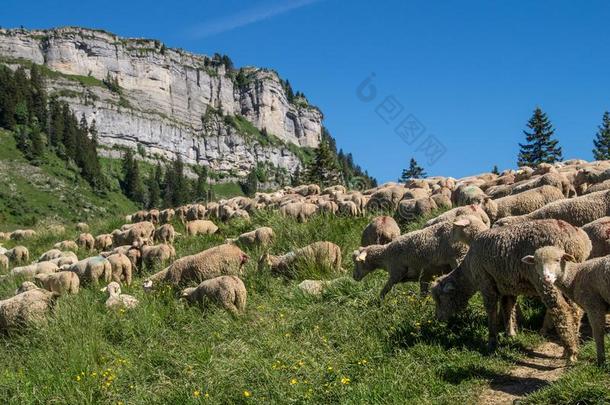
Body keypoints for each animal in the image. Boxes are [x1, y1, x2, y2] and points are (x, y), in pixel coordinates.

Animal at [430, 218, 592, 360]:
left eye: (441, 299)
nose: (438, 319)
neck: (469, 272)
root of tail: (572, 239)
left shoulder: (486, 282)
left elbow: (491, 311)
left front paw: (492, 342)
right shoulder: (507, 285)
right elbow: (507, 309)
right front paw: (511, 334)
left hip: (545, 279)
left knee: (561, 309)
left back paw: (570, 352)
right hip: (569, 277)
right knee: (575, 310)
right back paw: (572, 344)